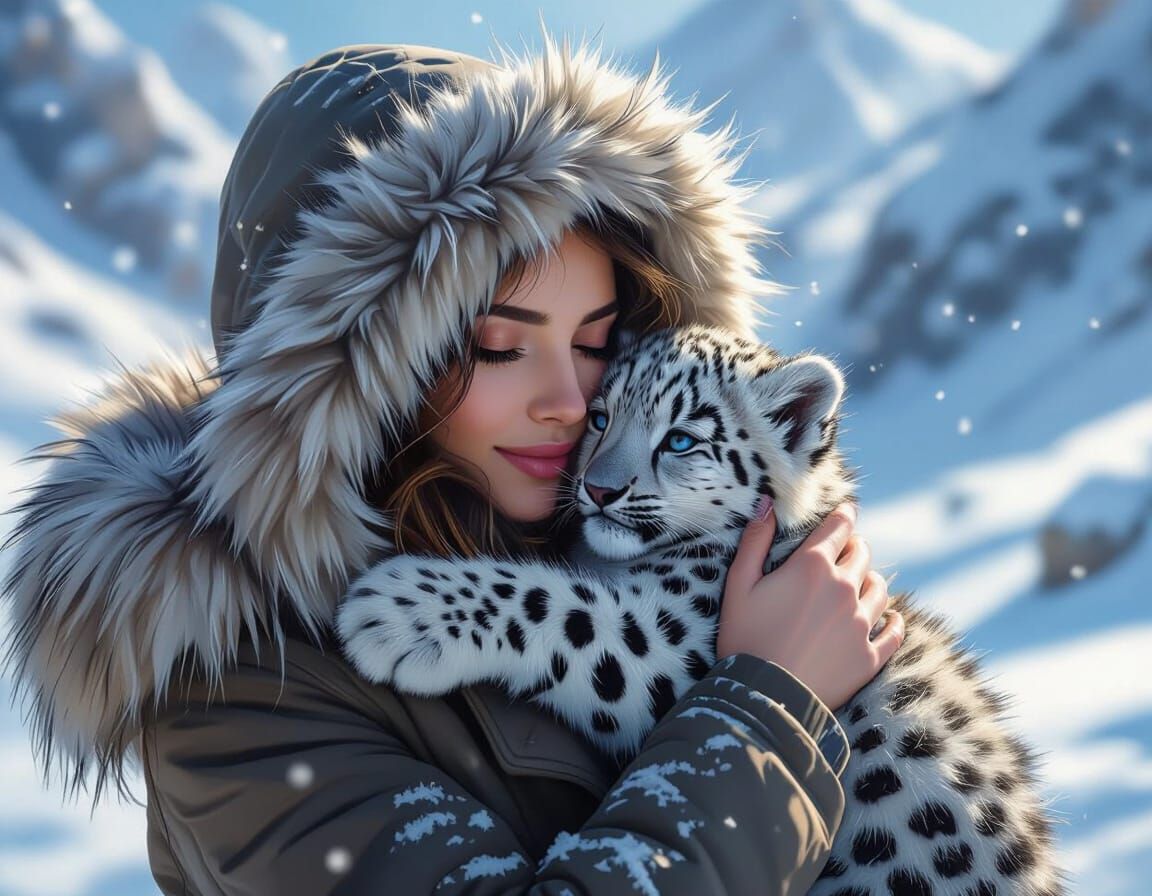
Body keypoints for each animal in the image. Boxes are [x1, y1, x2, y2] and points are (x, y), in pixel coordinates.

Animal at [336, 324, 1068, 895]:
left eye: (682, 440)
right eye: (599, 417)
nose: (598, 488)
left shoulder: (672, 639)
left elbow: (557, 603)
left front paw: (391, 611)